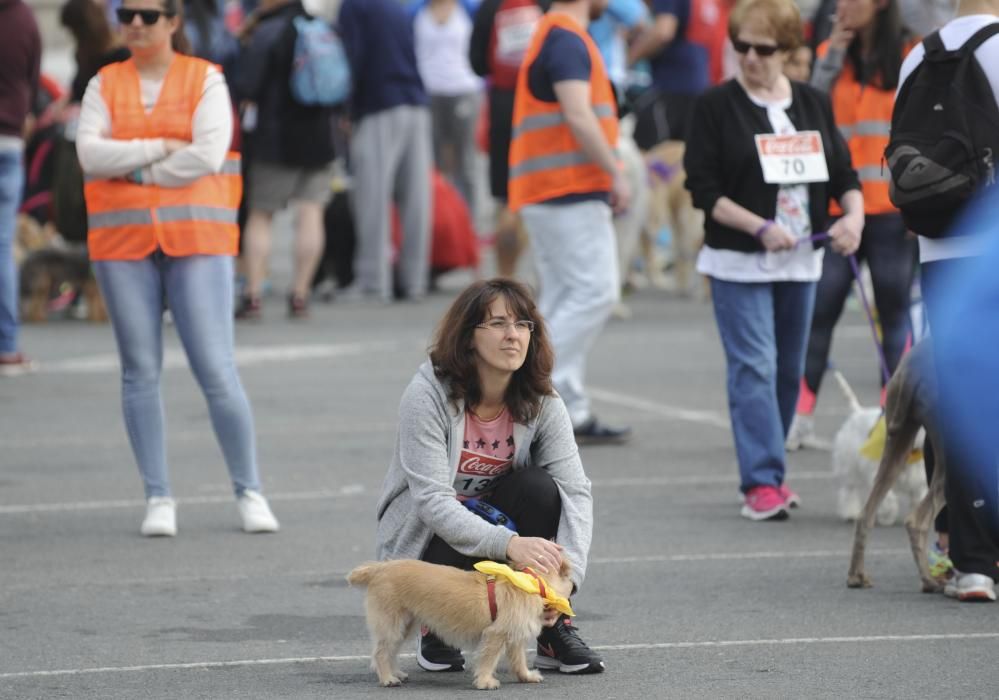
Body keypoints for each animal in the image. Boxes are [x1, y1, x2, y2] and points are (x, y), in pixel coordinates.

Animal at [350, 556, 572, 688]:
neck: (532, 582)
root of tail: (379, 568)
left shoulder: (515, 637)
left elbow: (519, 661)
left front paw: (526, 676)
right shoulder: (496, 635)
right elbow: (488, 660)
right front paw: (485, 681)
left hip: (404, 626)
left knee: (390, 651)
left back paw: (395, 672)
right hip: (392, 624)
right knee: (380, 652)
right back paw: (387, 678)